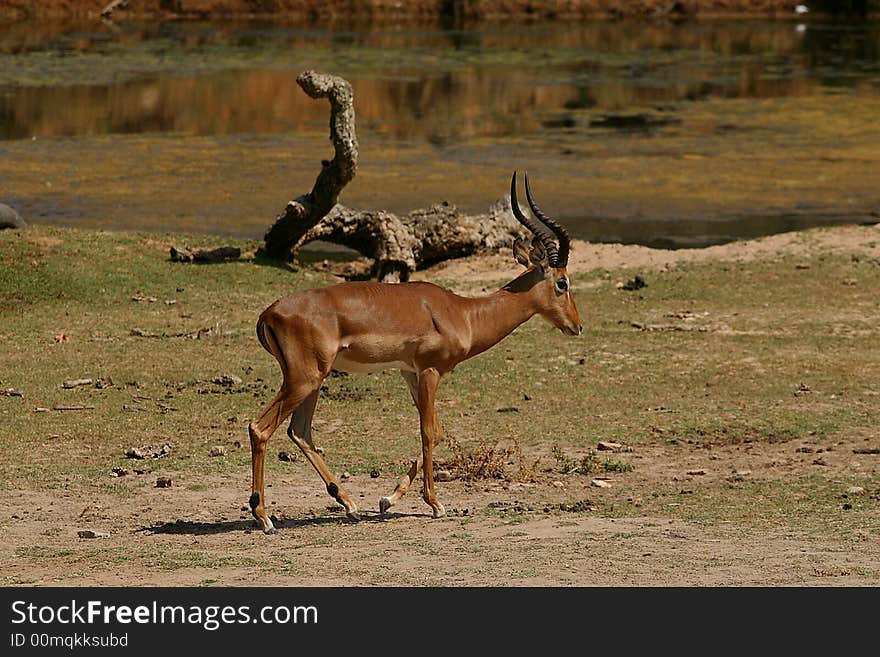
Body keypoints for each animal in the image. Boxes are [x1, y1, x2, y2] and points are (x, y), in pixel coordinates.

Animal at [249, 170, 576, 532]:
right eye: (562, 282)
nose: (576, 325)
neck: (463, 313)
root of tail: (269, 312)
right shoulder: (431, 371)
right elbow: (429, 431)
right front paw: (435, 504)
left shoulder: (410, 372)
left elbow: (437, 431)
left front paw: (387, 499)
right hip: (303, 379)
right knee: (260, 428)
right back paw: (264, 516)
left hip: (313, 381)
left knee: (300, 431)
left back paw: (349, 505)